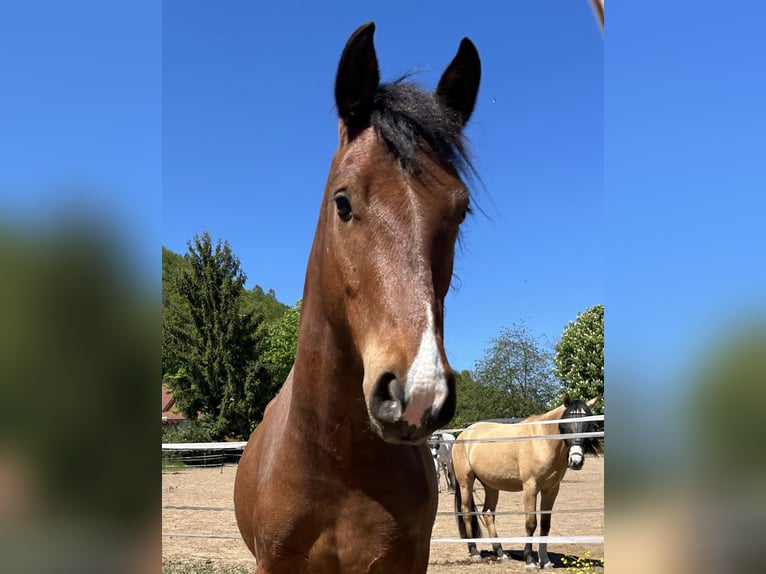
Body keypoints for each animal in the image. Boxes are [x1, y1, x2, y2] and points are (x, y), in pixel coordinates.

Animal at [451, 396, 602, 570]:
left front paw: (545, 560)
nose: (576, 461)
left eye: (589, 425)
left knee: (488, 514)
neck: (543, 441)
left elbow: (545, 524)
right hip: (466, 482)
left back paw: (501, 553)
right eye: (565, 425)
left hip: (491, 485)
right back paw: (474, 551)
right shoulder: (530, 487)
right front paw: (530, 561)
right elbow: (531, 523)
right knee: (467, 512)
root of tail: (464, 434)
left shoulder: (551, 490)